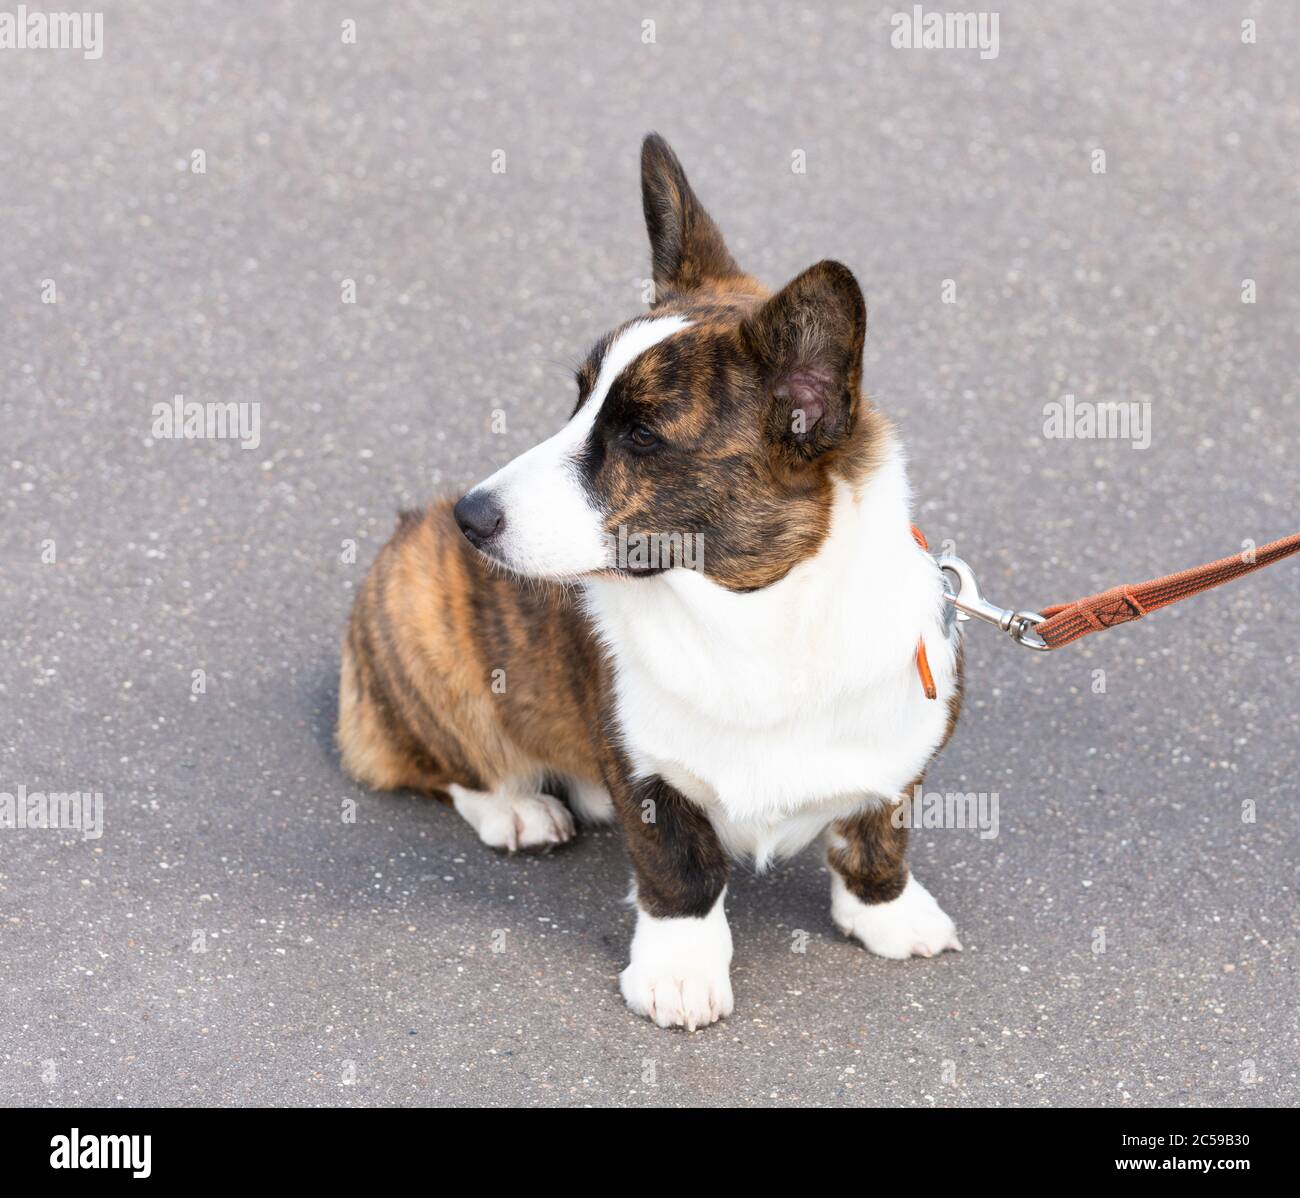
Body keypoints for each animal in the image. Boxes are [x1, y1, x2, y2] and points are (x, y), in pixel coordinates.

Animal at [335, 130, 967, 1029]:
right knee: (449, 760)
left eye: (639, 434)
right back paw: (517, 805)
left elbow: (877, 834)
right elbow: (682, 871)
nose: (470, 516)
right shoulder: (646, 773)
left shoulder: (901, 756)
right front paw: (680, 976)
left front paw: (890, 914)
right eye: (576, 400)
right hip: (423, 624)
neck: (751, 615)